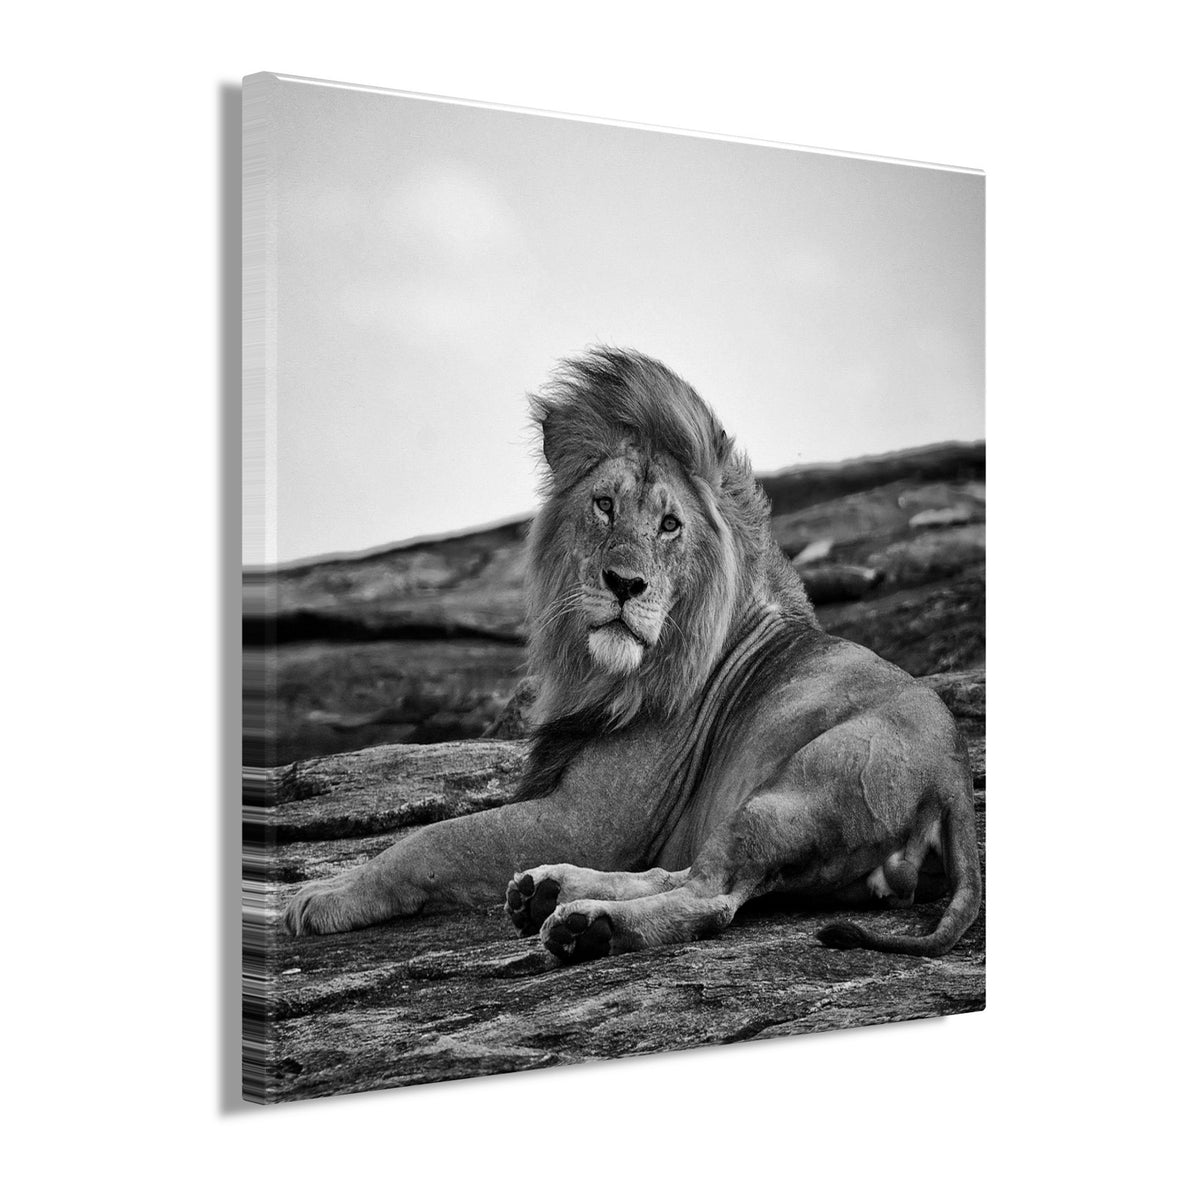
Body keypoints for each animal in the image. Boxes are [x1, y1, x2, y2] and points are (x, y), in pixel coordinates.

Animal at [284, 348, 981, 962]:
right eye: (604, 505)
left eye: (670, 525)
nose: (625, 584)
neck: (602, 675)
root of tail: (952, 777)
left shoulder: (589, 821)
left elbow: (430, 840)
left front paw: (324, 895)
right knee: (684, 873)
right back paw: (552, 891)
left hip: (794, 792)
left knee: (709, 896)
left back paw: (588, 926)